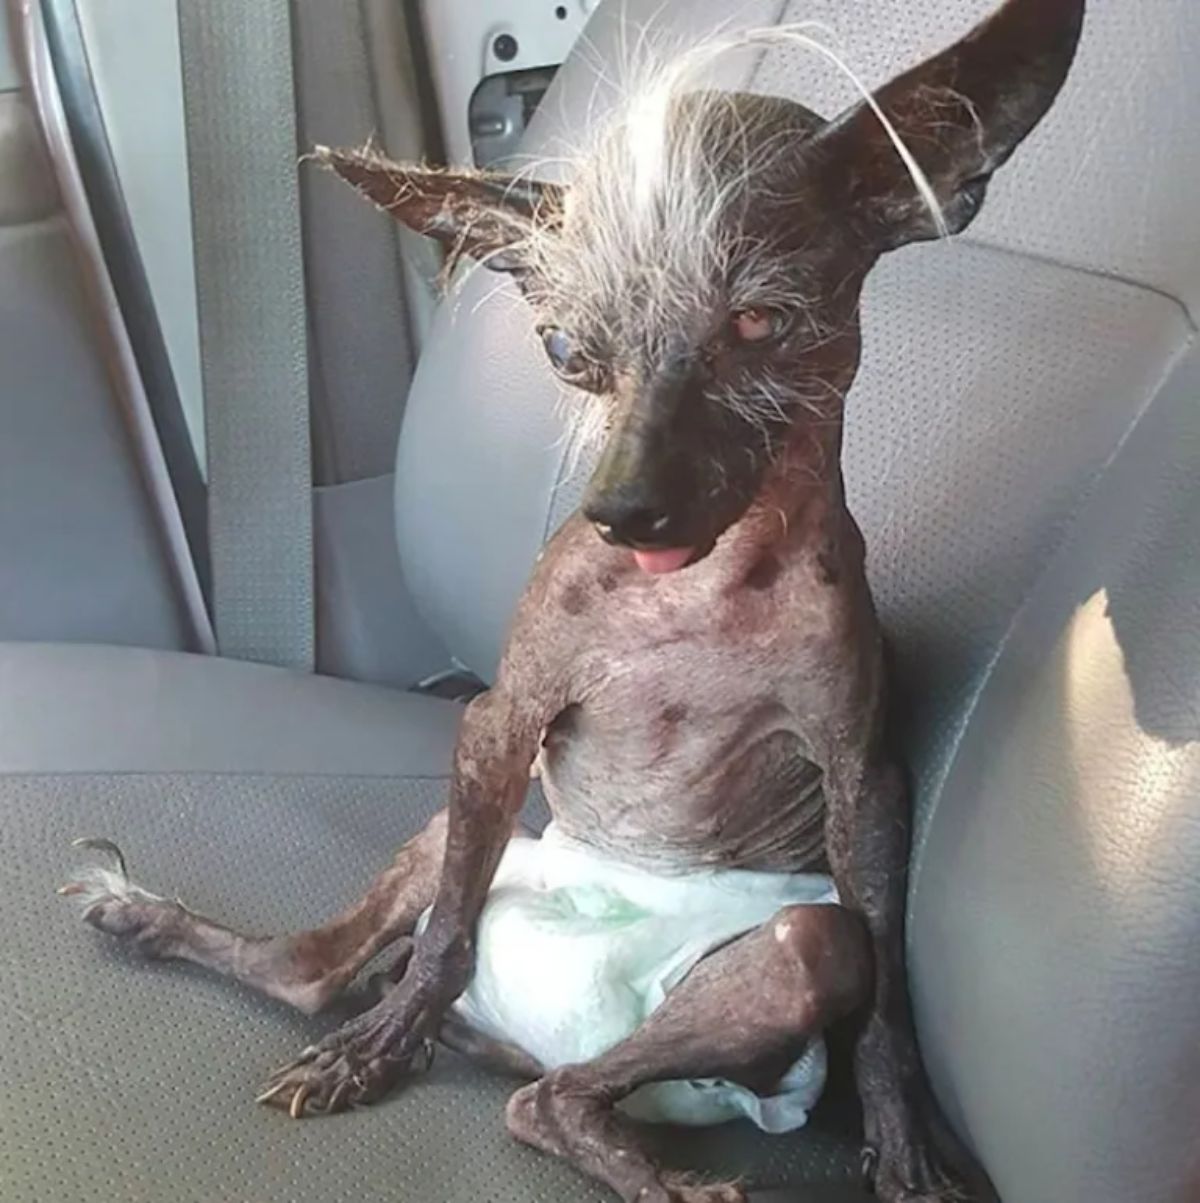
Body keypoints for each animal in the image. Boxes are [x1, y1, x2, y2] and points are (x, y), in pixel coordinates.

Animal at [61, 4, 1086, 1198]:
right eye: (565, 350)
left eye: (758, 324)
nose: (622, 510)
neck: (698, 594)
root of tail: (527, 1038)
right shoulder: (495, 726)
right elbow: (446, 934)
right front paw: (382, 1047)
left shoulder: (864, 783)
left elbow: (888, 1010)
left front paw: (905, 1142)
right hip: (456, 825)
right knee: (325, 970)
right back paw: (183, 934)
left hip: (786, 955)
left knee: (555, 1093)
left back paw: (639, 1158)